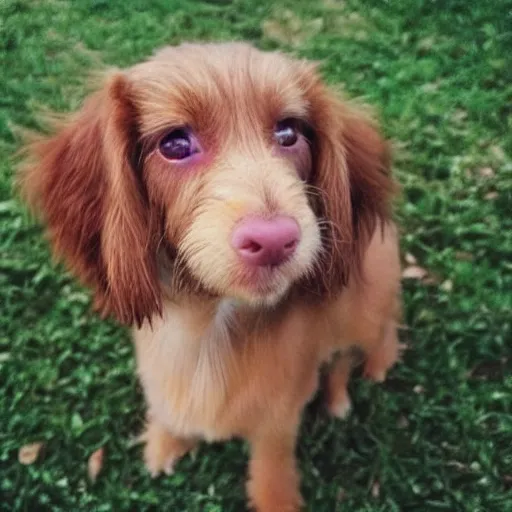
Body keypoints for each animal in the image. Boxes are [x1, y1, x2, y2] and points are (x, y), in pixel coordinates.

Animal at [18, 42, 402, 510]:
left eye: (289, 133)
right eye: (175, 144)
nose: (275, 240)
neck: (210, 326)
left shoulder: (278, 420)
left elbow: (271, 468)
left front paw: (276, 499)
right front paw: (166, 441)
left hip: (362, 307)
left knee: (368, 339)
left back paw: (357, 381)